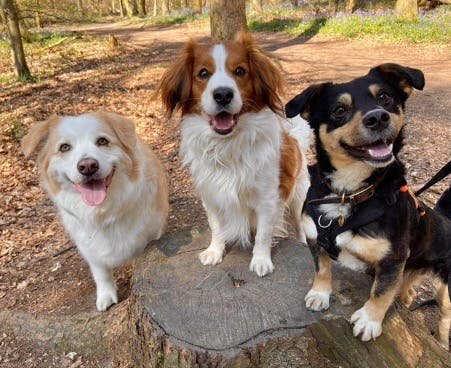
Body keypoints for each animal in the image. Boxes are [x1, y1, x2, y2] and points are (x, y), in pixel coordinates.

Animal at [22, 112, 169, 310]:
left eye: (102, 141)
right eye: (64, 147)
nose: (88, 166)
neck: (103, 212)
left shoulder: (152, 234)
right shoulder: (88, 246)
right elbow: (101, 272)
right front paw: (106, 295)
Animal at [158, 33, 310, 276]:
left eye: (239, 71)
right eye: (203, 73)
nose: (223, 94)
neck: (228, 145)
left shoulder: (267, 197)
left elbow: (263, 233)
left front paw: (261, 260)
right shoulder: (211, 194)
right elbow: (216, 226)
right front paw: (215, 251)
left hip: (298, 195)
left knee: (299, 223)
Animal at [286, 63, 451, 348]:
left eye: (385, 97)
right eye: (339, 110)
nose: (378, 118)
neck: (347, 193)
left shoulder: (393, 257)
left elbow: (381, 291)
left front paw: (369, 320)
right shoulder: (315, 238)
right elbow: (322, 268)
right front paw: (320, 293)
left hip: (446, 290)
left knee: (444, 317)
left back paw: (440, 341)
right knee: (407, 286)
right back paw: (405, 296)